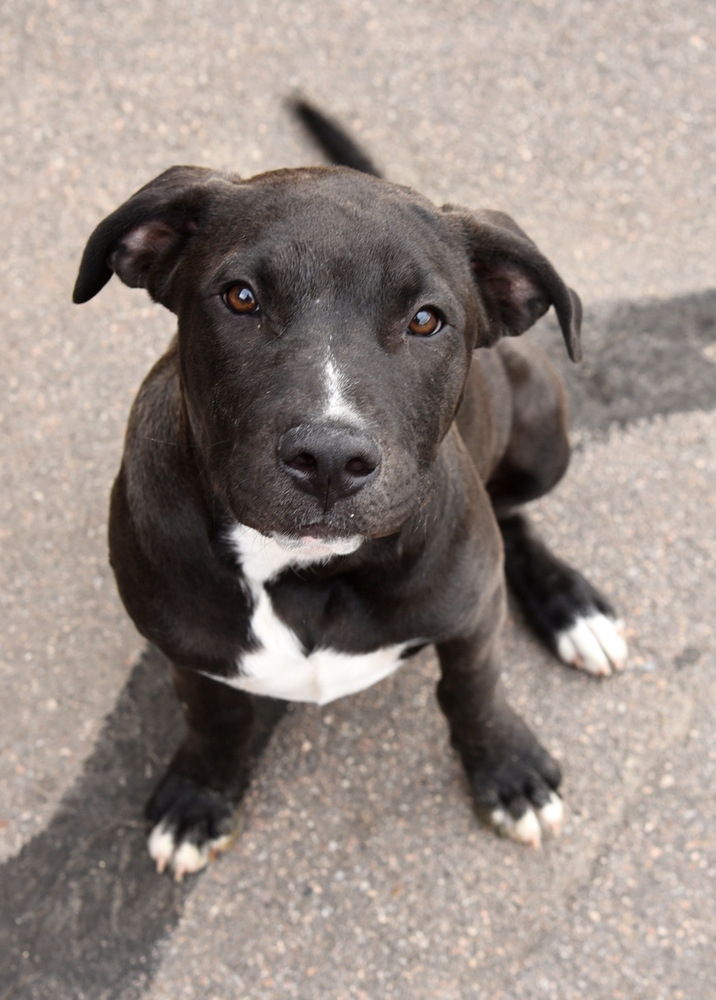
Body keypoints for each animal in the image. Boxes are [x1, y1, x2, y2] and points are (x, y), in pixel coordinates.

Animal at [74, 105, 628, 880]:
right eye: (240, 297)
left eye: (426, 319)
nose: (331, 459)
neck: (307, 571)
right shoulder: (184, 645)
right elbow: (216, 716)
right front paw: (198, 795)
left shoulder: (470, 610)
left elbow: (474, 686)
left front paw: (508, 769)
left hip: (545, 430)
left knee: (513, 518)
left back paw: (571, 606)